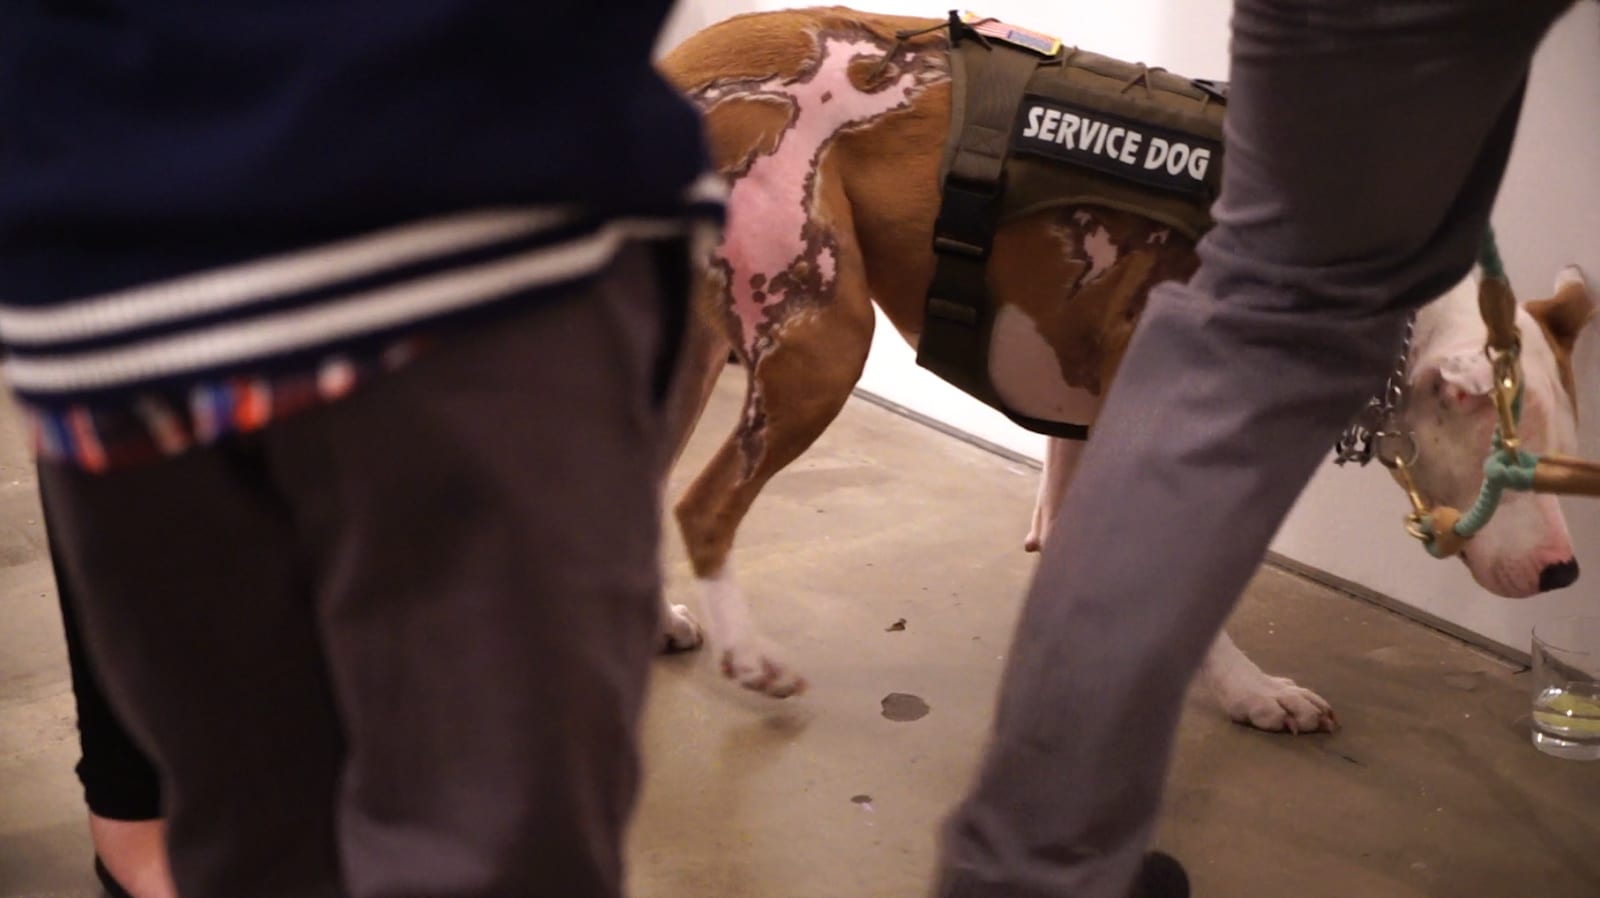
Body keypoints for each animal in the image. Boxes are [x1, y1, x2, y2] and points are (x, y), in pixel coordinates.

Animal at [652, 7, 1600, 733]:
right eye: (1505, 457)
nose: (1565, 574)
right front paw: (1249, 691)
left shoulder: (1090, 425)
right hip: (822, 339)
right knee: (702, 506)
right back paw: (751, 658)